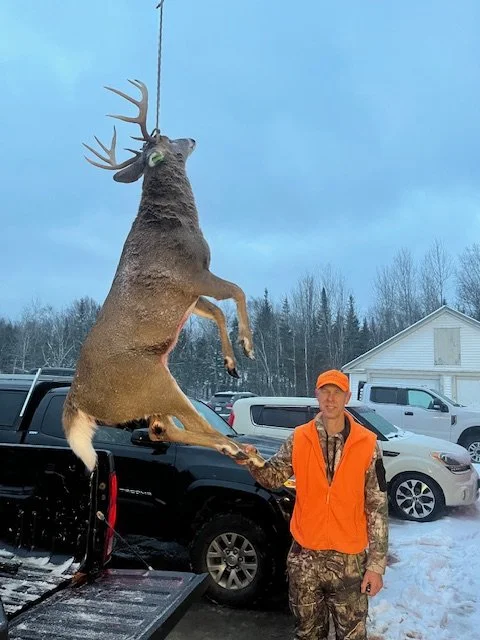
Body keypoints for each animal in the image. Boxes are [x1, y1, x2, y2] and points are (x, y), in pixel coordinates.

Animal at [62, 79, 265, 472]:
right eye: (169, 138)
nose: (192, 137)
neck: (173, 218)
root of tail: (76, 401)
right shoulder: (193, 273)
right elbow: (237, 290)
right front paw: (247, 346)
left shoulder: (189, 294)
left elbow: (216, 311)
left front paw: (231, 364)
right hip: (155, 383)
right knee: (185, 425)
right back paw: (241, 450)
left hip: (158, 384)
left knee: (163, 429)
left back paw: (241, 450)